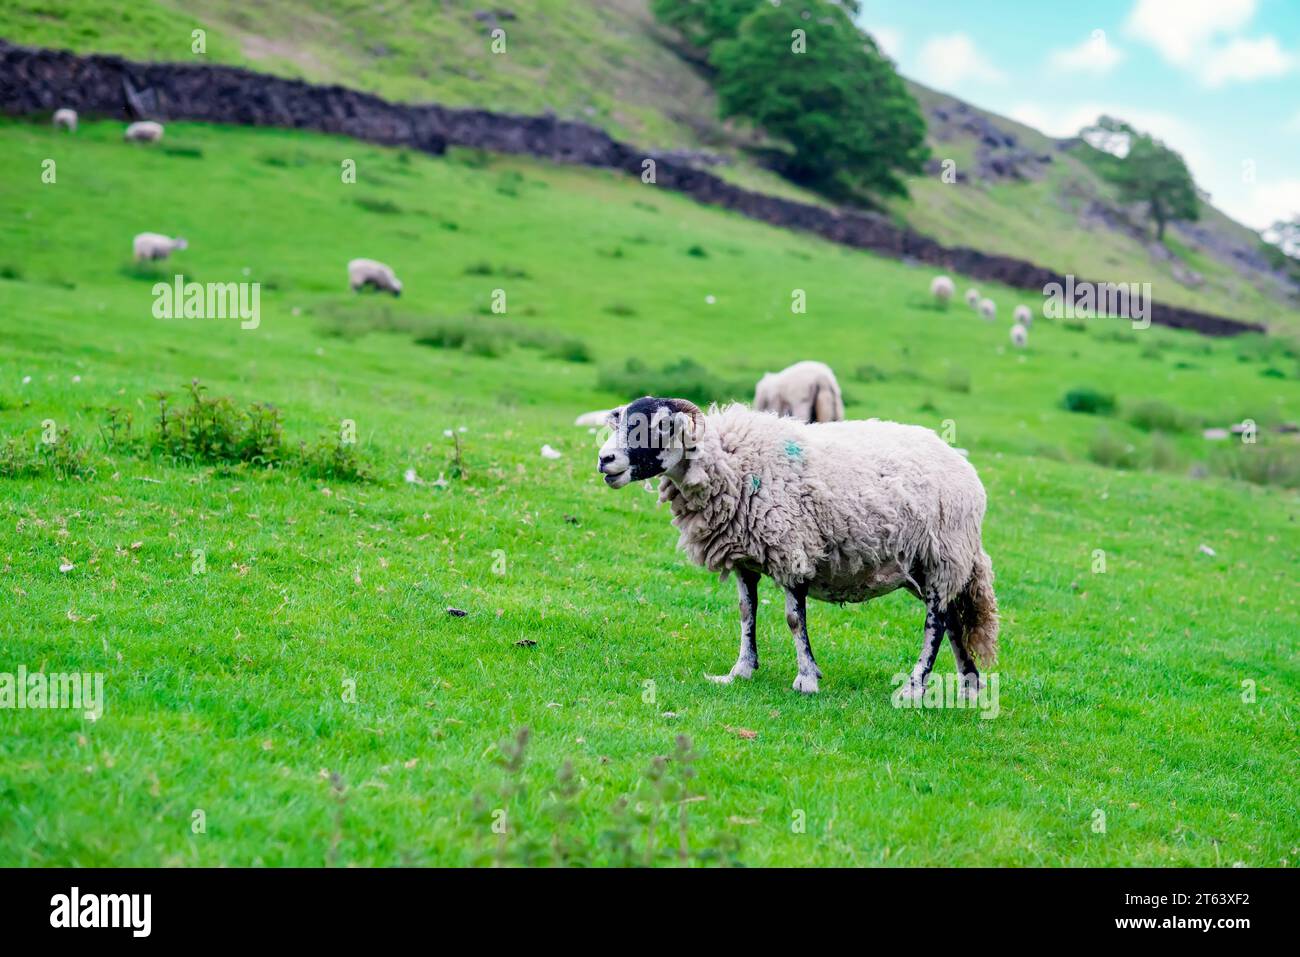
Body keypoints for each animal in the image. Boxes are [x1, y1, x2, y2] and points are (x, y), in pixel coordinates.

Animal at [596, 397, 999, 696]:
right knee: (952, 619)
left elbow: (793, 620)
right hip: (926, 568)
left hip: (941, 556)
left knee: (936, 623)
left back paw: (915, 687)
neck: (734, 462)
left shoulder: (791, 549)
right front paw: (740, 670)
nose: (604, 459)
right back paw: (968, 685)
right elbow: (746, 612)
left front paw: (806, 678)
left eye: (661, 426)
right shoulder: (745, 557)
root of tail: (965, 468)